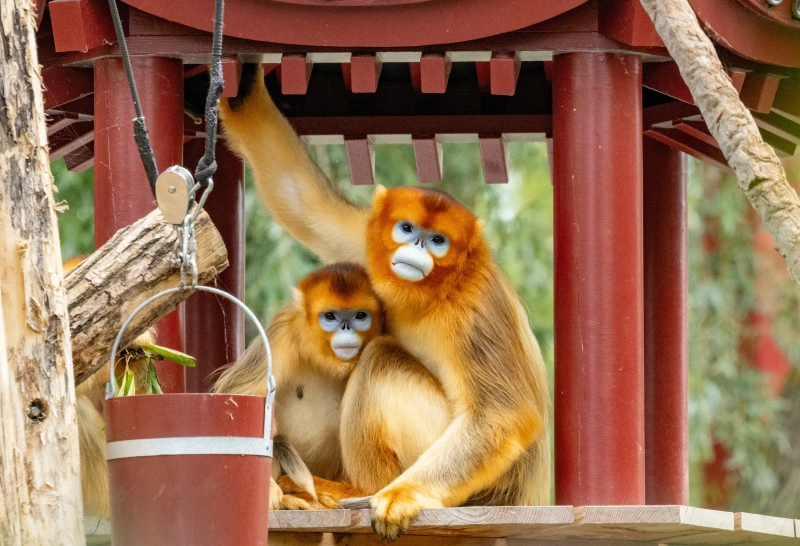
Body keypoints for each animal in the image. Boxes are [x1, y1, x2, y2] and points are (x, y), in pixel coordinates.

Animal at [212, 262, 383, 510]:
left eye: (360, 315)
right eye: (330, 316)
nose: (346, 328)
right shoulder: (283, 330)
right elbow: (240, 394)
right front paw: (267, 489)